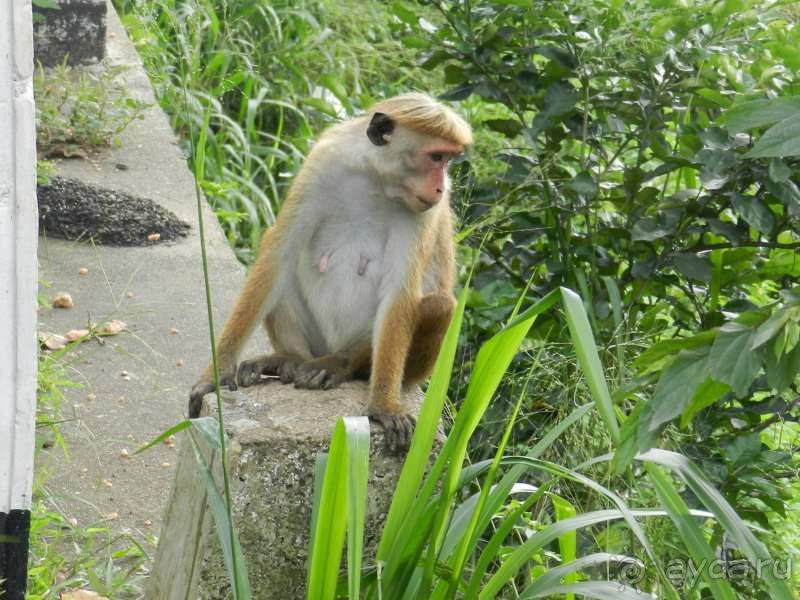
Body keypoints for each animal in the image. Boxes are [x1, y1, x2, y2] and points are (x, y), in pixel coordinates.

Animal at [190, 94, 472, 450]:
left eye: (448, 160)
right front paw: (214, 375)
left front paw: (383, 405)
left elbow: (399, 293)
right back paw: (290, 358)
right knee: (279, 262)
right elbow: (279, 253)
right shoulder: (324, 163)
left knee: (438, 305)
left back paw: (342, 364)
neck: (375, 180)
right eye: (436, 156)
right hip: (316, 338)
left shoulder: (422, 213)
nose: (440, 188)